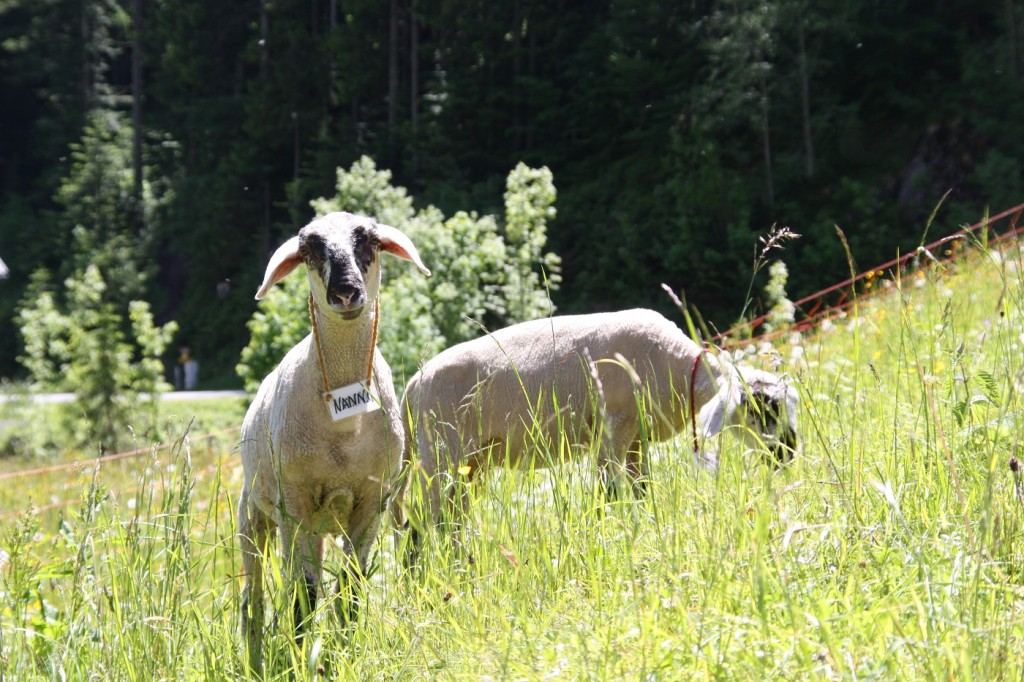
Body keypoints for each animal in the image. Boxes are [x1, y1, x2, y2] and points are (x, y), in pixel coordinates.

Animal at [238, 209, 428, 671]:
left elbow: (351, 587)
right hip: (254, 515)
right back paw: (255, 655)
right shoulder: (296, 505)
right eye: (309, 248)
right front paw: (299, 660)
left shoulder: (372, 502)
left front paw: (346, 650)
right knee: (254, 597)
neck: (345, 426)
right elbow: (302, 596)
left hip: (320, 525)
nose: (345, 292)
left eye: (370, 241)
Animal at [395, 307, 794, 552]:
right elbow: (609, 494)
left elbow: (640, 491)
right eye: (762, 408)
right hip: (441, 452)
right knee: (419, 523)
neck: (679, 370)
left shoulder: (636, 438)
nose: (788, 453)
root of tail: (412, 387)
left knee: (445, 523)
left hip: (470, 464)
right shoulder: (613, 428)